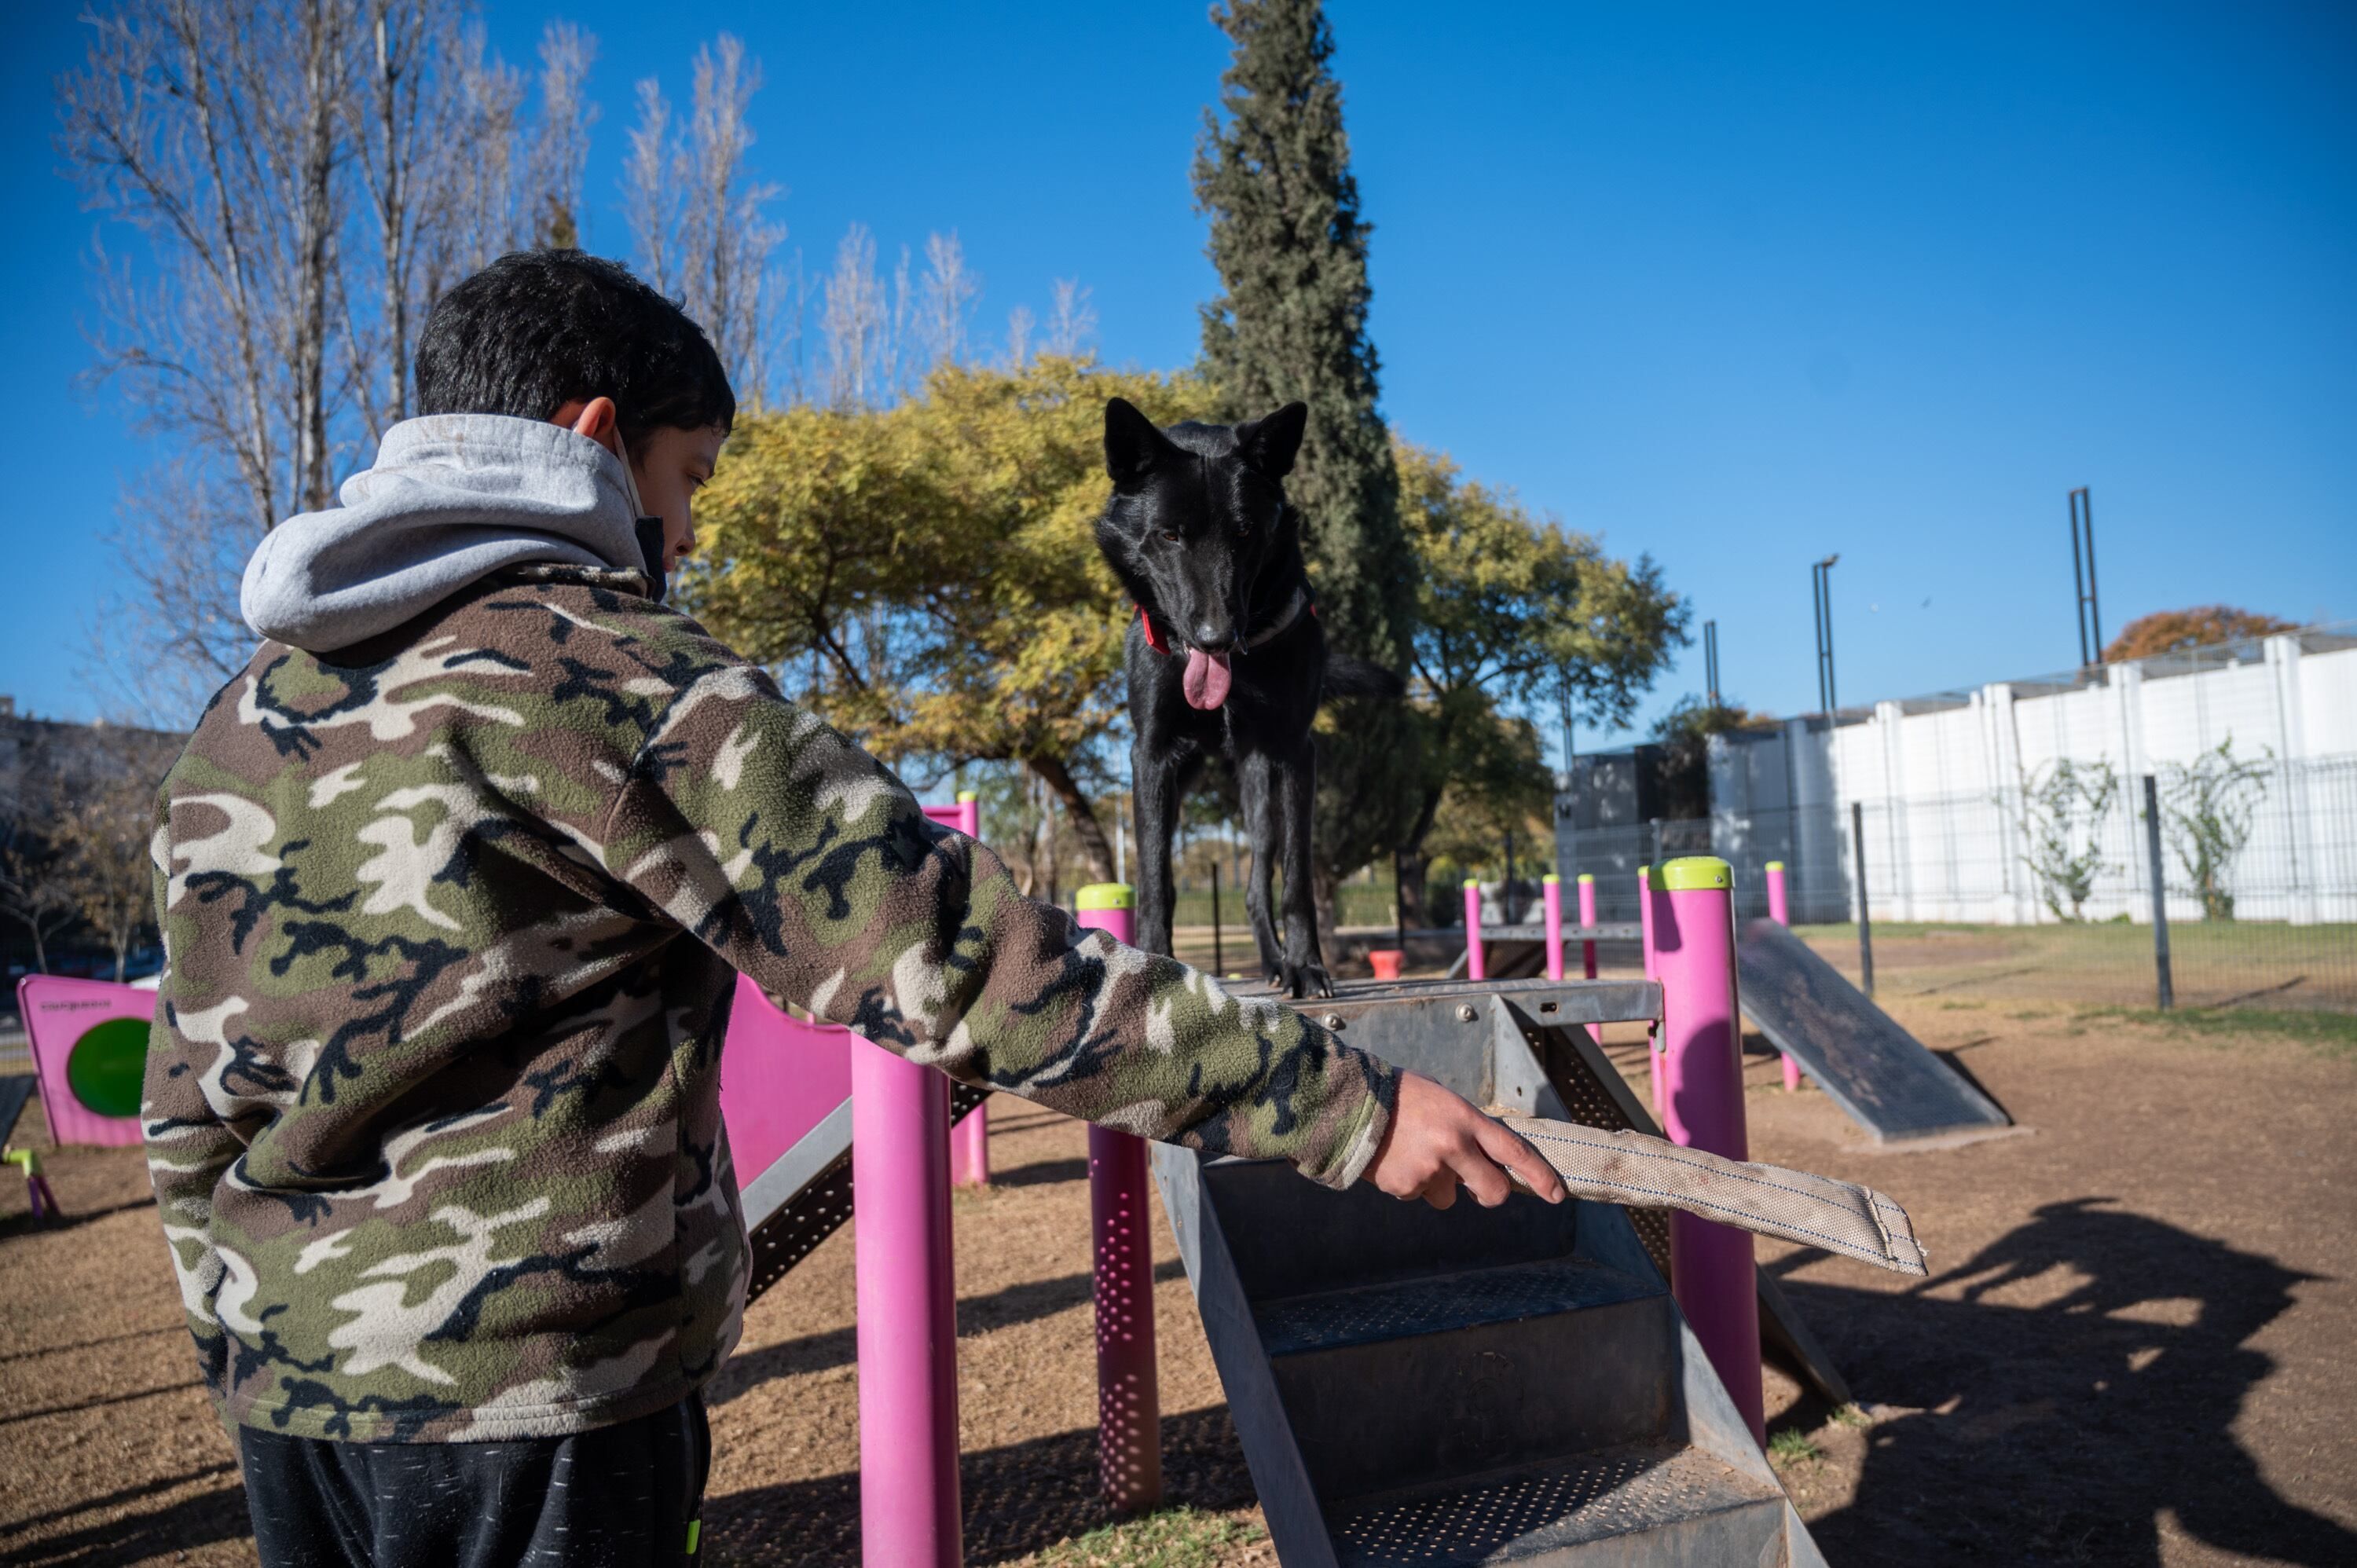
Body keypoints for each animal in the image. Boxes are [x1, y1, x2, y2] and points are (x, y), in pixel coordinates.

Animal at [1095, 396, 1401, 998]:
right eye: (1169, 536)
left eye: (1244, 533)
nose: (1216, 637)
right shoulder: (1152, 755)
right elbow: (1154, 877)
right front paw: (1156, 961)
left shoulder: (1295, 753)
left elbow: (1296, 879)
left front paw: (1305, 964)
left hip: (1260, 787)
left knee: (1259, 878)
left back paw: (1277, 962)